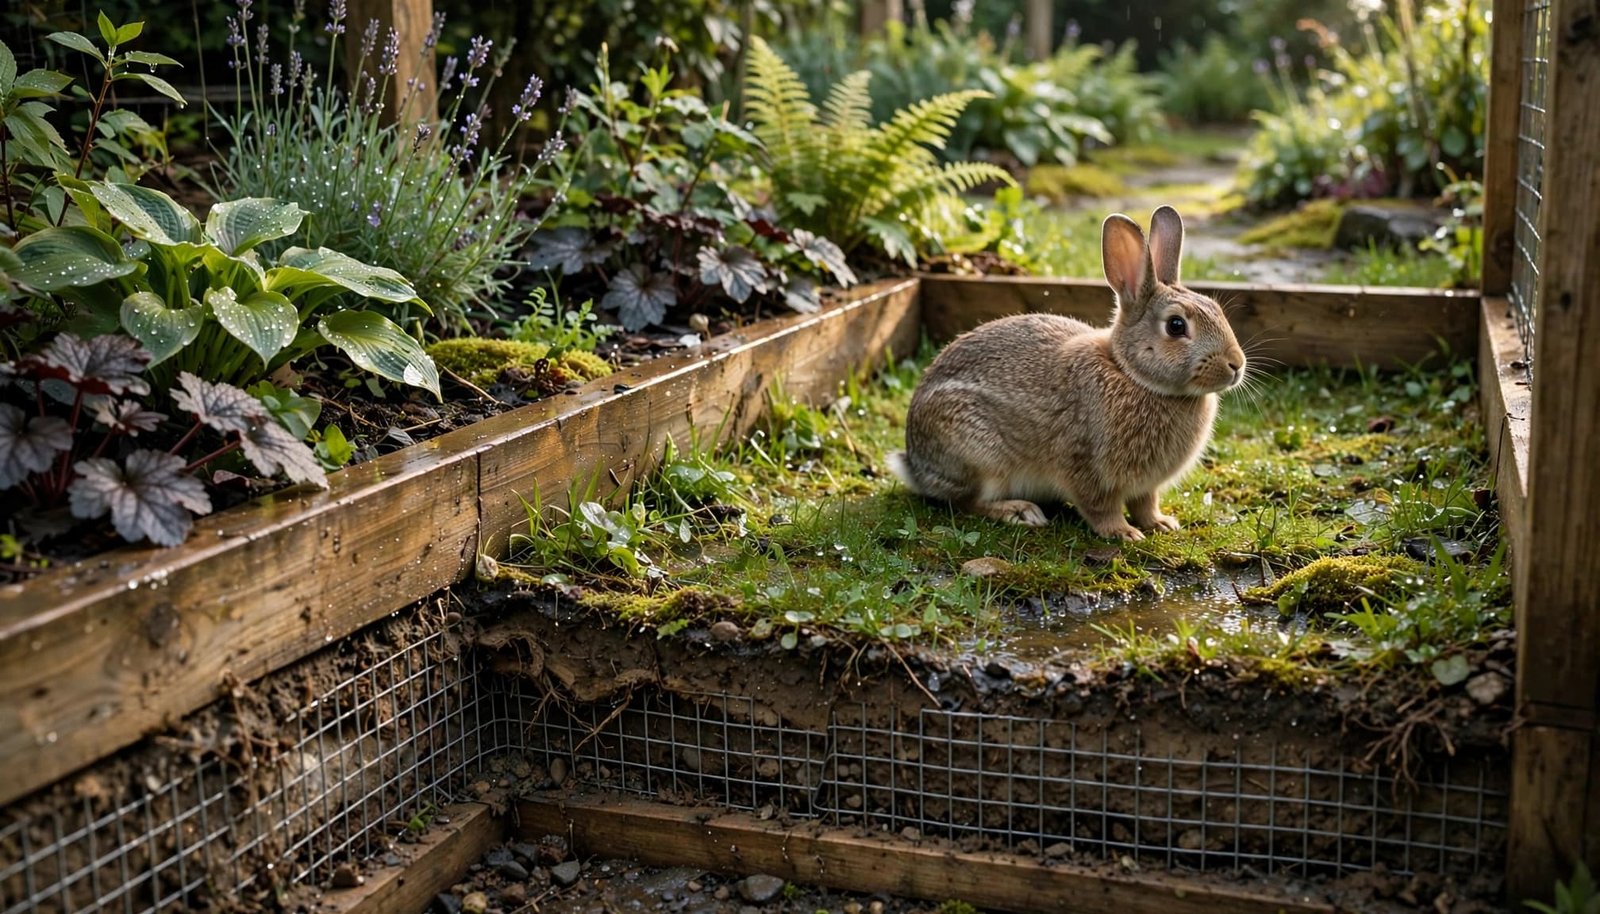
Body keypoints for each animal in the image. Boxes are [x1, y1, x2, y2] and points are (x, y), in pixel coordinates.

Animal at [886, 205, 1245, 541]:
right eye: (1176, 326)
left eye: (1217, 310)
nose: (1236, 364)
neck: (1131, 374)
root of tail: (915, 465)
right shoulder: (1085, 466)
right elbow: (1101, 507)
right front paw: (1123, 533)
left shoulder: (1146, 486)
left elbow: (1146, 504)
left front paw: (1161, 524)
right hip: (978, 456)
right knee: (966, 502)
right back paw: (1019, 512)